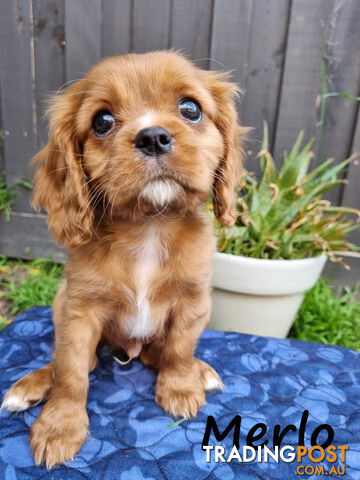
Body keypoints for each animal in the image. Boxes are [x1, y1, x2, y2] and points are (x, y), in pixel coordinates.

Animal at [2, 50, 245, 466]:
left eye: (190, 109)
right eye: (102, 122)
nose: (153, 137)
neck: (149, 226)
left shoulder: (194, 301)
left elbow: (180, 348)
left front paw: (180, 388)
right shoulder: (79, 312)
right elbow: (71, 372)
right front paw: (59, 427)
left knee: (157, 352)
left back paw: (200, 371)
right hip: (61, 302)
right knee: (73, 362)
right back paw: (32, 384)